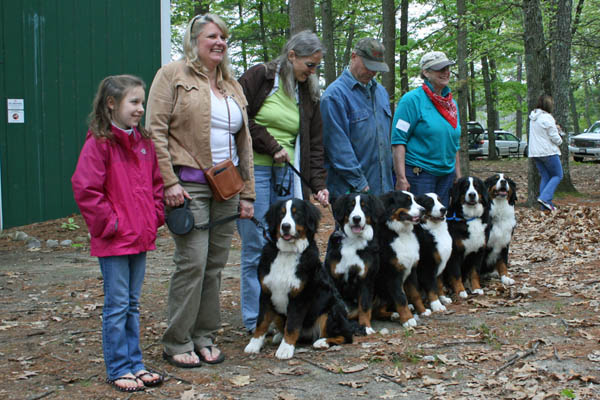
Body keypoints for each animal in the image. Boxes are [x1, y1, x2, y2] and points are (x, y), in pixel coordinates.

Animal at [245, 199, 358, 360]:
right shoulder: (267, 292)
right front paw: (253, 345)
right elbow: (261, 322)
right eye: (281, 214)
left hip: (331, 310)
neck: (287, 252)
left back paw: (322, 342)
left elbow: (292, 325)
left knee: (346, 336)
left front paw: (285, 349)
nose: (285, 226)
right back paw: (279, 336)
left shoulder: (300, 296)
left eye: (296, 213)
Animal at [324, 193, 384, 334]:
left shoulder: (366, 278)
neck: (353, 241)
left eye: (364, 206)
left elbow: (365, 306)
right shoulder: (332, 276)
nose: (356, 218)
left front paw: (366, 326)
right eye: (350, 206)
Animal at [376, 191, 422, 328]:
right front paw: (408, 319)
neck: (401, 233)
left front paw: (424, 310)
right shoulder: (392, 274)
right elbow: (400, 298)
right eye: (407, 201)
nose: (423, 210)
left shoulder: (412, 270)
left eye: (415, 200)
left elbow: (415, 293)